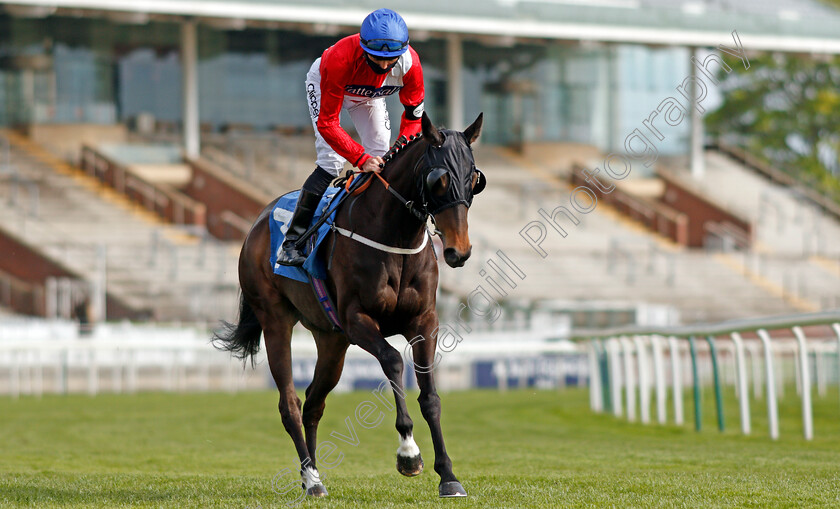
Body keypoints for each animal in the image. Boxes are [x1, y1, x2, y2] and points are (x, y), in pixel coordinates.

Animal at [215, 113, 486, 498]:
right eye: (439, 179)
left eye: (475, 179)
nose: (458, 251)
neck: (395, 237)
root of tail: (256, 223)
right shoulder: (358, 320)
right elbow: (392, 361)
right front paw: (408, 453)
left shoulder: (425, 322)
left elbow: (430, 394)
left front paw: (448, 475)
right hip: (275, 320)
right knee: (291, 404)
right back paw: (312, 479)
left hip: (331, 340)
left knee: (314, 403)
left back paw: (310, 477)